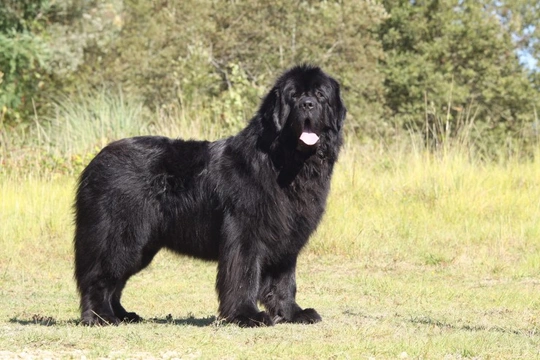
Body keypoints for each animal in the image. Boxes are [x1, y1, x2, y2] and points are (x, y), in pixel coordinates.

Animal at [74, 64, 346, 326]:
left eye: (320, 95)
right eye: (294, 96)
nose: (307, 104)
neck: (283, 162)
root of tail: (95, 161)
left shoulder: (286, 238)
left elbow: (284, 281)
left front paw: (292, 313)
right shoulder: (245, 233)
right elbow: (244, 276)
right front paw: (246, 315)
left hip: (142, 245)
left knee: (116, 283)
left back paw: (123, 315)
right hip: (120, 236)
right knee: (100, 277)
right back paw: (101, 317)